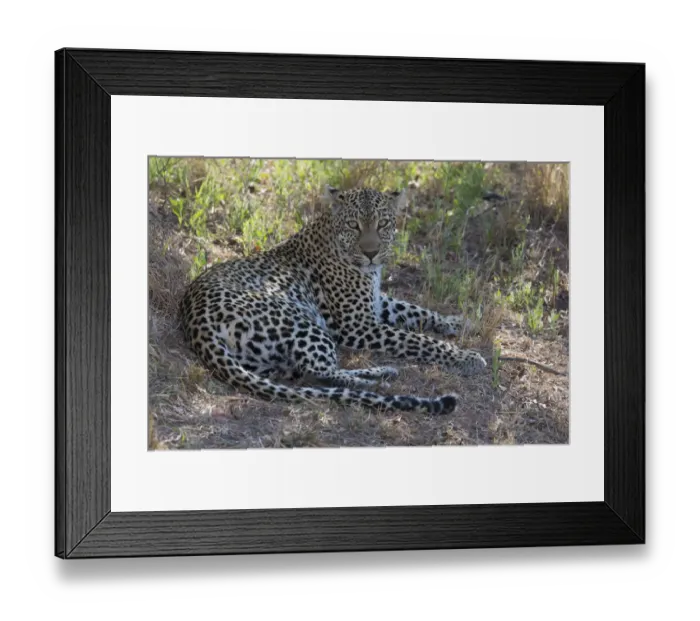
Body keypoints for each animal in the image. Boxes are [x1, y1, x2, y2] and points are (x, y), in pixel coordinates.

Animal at [179, 185, 488, 415]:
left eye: (383, 224)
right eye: (354, 225)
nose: (371, 252)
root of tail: (196, 321)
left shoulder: (375, 304)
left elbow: (415, 310)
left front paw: (458, 322)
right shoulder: (358, 324)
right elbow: (419, 340)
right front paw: (467, 356)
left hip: (266, 359)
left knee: (305, 373)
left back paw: (382, 373)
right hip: (300, 322)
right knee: (318, 373)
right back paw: (377, 382)